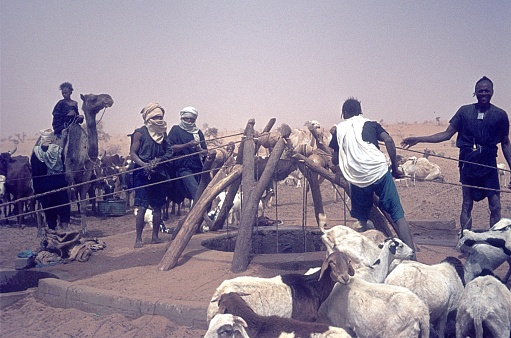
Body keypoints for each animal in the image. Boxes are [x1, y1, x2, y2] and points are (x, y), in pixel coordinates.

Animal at [63, 92, 113, 235]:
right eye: (93, 98)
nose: (109, 98)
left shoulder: (86, 176)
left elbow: (83, 201)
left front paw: (84, 230)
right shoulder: (69, 174)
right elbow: (71, 195)